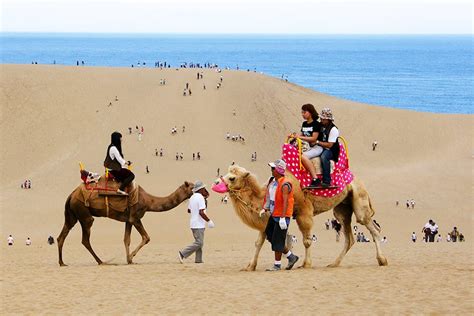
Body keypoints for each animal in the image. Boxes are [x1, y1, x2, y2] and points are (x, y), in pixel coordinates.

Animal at [56, 180, 193, 266]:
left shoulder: (128, 220)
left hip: (72, 214)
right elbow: (146, 237)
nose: (201, 191)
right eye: (192, 187)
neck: (148, 201)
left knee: (62, 236)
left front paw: (129, 260)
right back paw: (101, 261)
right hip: (83, 212)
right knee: (85, 238)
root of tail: (71, 194)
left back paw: (62, 263)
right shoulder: (135, 217)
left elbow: (126, 239)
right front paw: (131, 257)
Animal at [213, 164, 386, 270]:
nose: (215, 183)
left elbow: (306, 240)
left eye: (232, 177)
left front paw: (305, 264)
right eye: (226, 173)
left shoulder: (304, 211)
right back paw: (334, 263)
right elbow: (259, 242)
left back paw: (382, 260)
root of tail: (358, 180)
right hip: (342, 208)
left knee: (371, 227)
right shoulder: (267, 219)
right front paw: (250, 266)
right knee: (349, 236)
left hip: (359, 199)